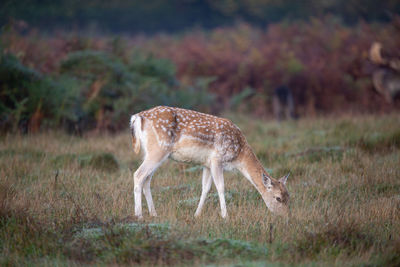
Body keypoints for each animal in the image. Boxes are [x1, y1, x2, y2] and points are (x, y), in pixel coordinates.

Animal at [130, 106, 290, 220]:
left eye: (288, 197)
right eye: (278, 198)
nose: (285, 217)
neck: (239, 154)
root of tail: (137, 117)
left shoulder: (206, 164)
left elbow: (205, 188)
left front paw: (197, 214)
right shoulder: (216, 159)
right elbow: (221, 187)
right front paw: (225, 216)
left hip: (151, 152)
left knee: (147, 179)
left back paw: (154, 213)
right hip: (158, 149)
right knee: (138, 174)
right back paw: (139, 215)